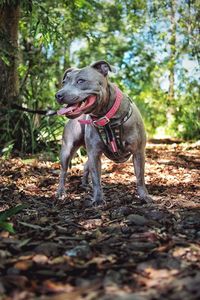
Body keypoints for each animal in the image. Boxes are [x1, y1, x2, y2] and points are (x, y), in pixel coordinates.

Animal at [54, 59, 152, 205]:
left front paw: (144, 196)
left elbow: (140, 177)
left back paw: (84, 184)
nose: (58, 95)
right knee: (63, 172)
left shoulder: (138, 152)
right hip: (67, 150)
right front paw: (98, 199)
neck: (107, 118)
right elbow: (96, 179)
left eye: (81, 81)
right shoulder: (95, 154)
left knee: (85, 166)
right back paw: (61, 192)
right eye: (64, 82)